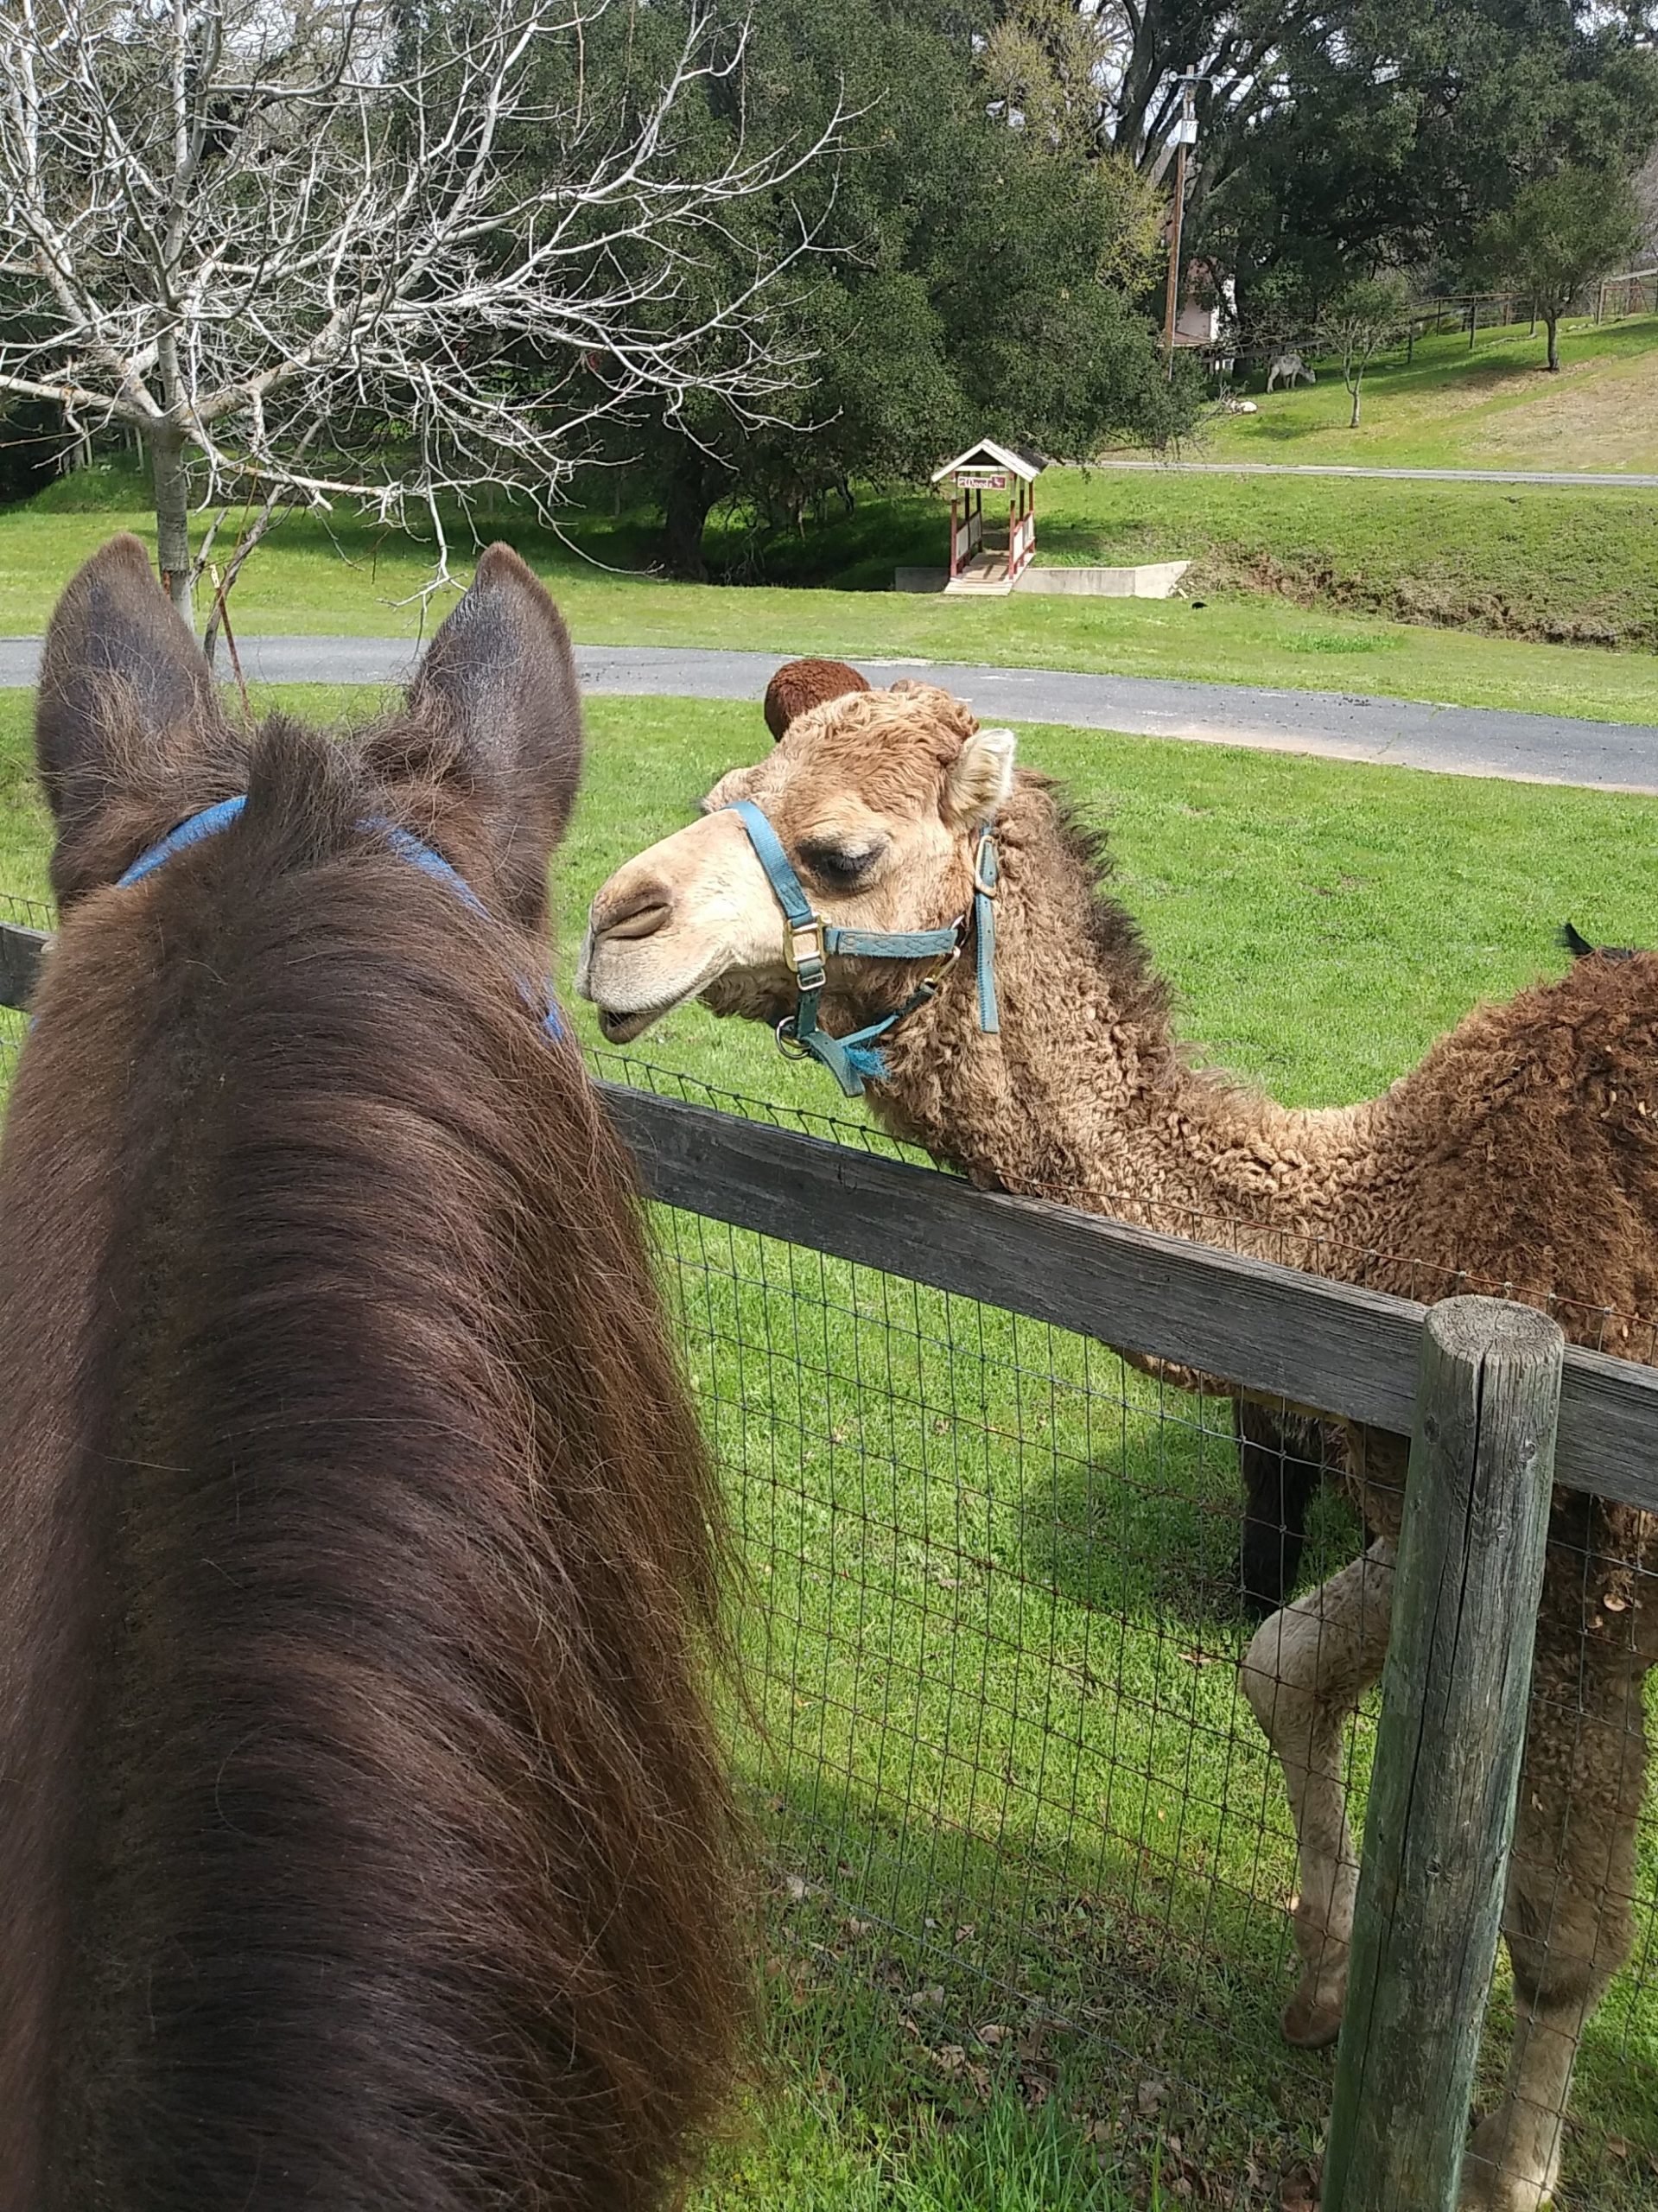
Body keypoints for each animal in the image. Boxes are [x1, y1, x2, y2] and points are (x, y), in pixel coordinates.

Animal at [577, 676, 1658, 2211]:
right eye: (726, 787)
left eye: (841, 852)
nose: (616, 922)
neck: (1373, 1228)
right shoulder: (1418, 1493)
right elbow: (1278, 1666)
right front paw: (1317, 1986)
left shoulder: (1583, 1568)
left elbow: (1560, 1934)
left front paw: (1508, 2169)